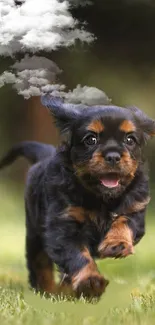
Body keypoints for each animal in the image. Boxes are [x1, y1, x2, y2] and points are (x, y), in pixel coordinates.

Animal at [0, 97, 154, 298]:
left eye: (130, 139)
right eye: (91, 139)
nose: (113, 156)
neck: (101, 198)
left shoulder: (135, 208)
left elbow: (124, 221)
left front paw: (117, 243)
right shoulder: (63, 225)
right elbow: (78, 255)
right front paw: (90, 282)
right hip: (35, 233)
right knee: (39, 264)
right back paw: (48, 291)